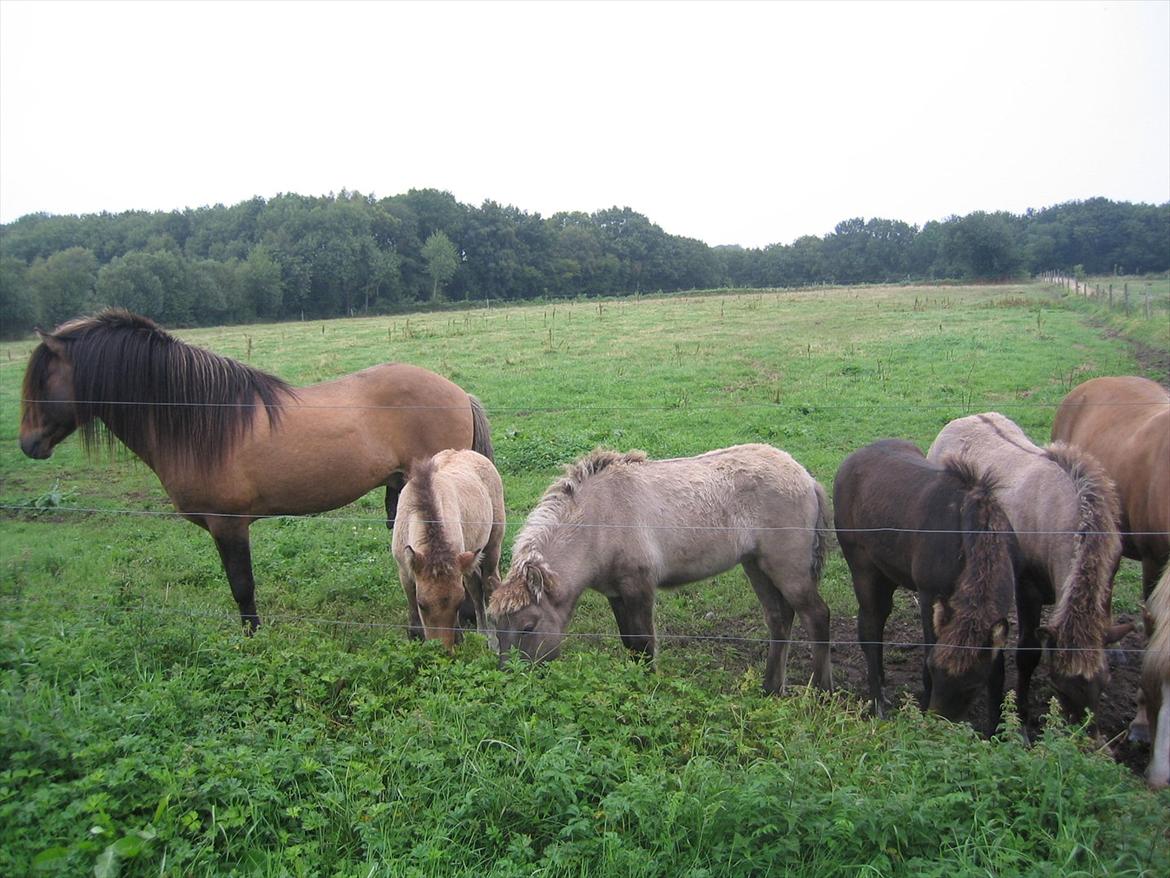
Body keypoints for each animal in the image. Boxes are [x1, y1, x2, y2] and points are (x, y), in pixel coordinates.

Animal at [19, 309, 493, 627]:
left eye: (42, 380)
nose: (28, 443)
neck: (201, 422)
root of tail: (459, 392)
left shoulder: (228, 524)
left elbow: (242, 587)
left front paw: (253, 641)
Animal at [393, 454, 503, 655]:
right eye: (422, 604)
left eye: (459, 604)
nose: (442, 650)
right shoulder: (404, 570)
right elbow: (413, 614)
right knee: (475, 587)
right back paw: (482, 633)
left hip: (492, 546)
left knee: (489, 585)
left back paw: (493, 642)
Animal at [484, 447, 833, 693]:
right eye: (497, 627)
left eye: (528, 627)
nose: (508, 678)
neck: (600, 518)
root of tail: (806, 477)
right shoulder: (616, 593)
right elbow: (630, 643)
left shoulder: (638, 587)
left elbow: (644, 644)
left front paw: (647, 688)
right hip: (756, 567)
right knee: (779, 619)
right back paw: (771, 689)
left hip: (788, 570)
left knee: (817, 616)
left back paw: (821, 691)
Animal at [833, 440, 1015, 735]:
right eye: (934, 671)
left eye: (973, 686)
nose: (937, 723)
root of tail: (848, 462)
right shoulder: (930, 594)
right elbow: (929, 648)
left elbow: (998, 672)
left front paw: (997, 730)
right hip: (863, 567)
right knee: (869, 628)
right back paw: (878, 703)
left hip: (888, 574)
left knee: (878, 622)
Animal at [926, 412, 1127, 730]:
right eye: (1059, 687)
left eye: (1104, 682)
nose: (1083, 737)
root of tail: (962, 419)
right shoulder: (1027, 587)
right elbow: (1028, 652)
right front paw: (1022, 720)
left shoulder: (1107, 579)